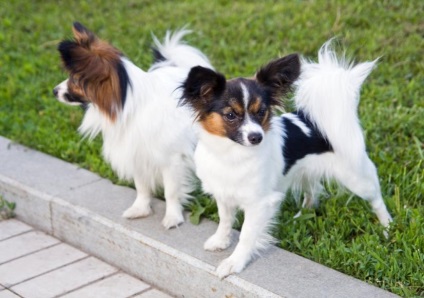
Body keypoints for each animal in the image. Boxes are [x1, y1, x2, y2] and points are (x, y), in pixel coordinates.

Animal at [53, 22, 212, 228]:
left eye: (74, 80)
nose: (54, 91)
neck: (129, 106)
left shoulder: (172, 160)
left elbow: (171, 191)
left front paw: (172, 217)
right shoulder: (136, 153)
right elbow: (141, 187)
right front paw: (140, 209)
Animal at [181, 40, 392, 278]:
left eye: (261, 112)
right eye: (231, 115)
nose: (256, 137)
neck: (232, 153)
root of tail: (317, 121)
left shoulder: (260, 203)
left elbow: (246, 235)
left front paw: (234, 262)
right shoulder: (224, 193)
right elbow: (225, 220)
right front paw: (220, 241)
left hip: (355, 176)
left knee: (376, 198)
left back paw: (387, 227)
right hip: (306, 171)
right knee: (313, 190)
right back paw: (304, 213)